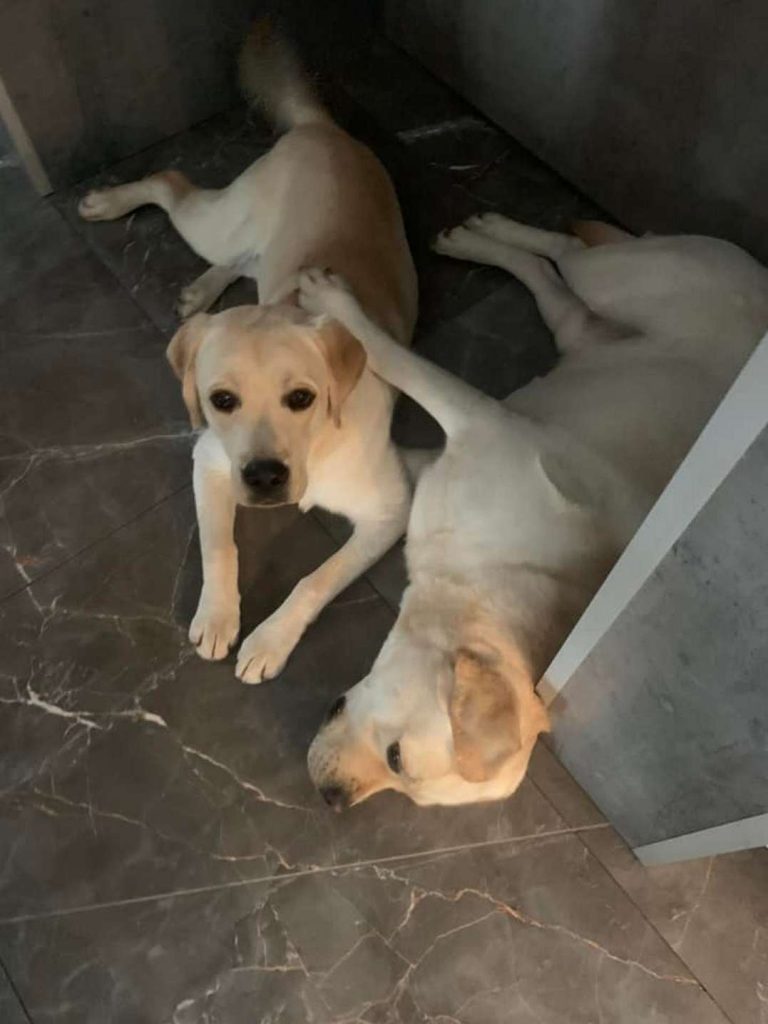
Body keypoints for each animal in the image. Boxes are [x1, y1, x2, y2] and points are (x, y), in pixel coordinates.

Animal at [78, 24, 417, 683]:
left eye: (303, 397)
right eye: (222, 400)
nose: (263, 477)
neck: (318, 446)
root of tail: (320, 129)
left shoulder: (390, 510)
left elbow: (317, 579)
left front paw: (268, 641)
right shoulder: (209, 459)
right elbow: (219, 545)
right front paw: (217, 617)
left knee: (231, 243)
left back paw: (194, 286)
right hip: (221, 222)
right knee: (174, 187)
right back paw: (113, 208)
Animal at [301, 214, 768, 808]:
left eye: (397, 768)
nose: (331, 799)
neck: (491, 572)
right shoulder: (477, 415)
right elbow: (394, 358)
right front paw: (337, 308)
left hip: (590, 328)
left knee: (556, 287)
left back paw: (481, 236)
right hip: (620, 278)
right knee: (567, 251)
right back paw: (480, 236)